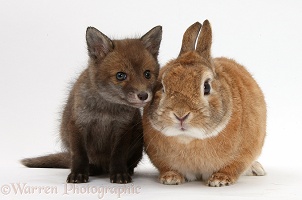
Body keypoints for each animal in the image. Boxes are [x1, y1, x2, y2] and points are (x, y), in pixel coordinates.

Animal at [143, 19, 266, 187]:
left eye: (206, 87)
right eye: (162, 86)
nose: (180, 115)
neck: (190, 139)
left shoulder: (243, 153)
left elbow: (232, 167)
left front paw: (220, 180)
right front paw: (170, 178)